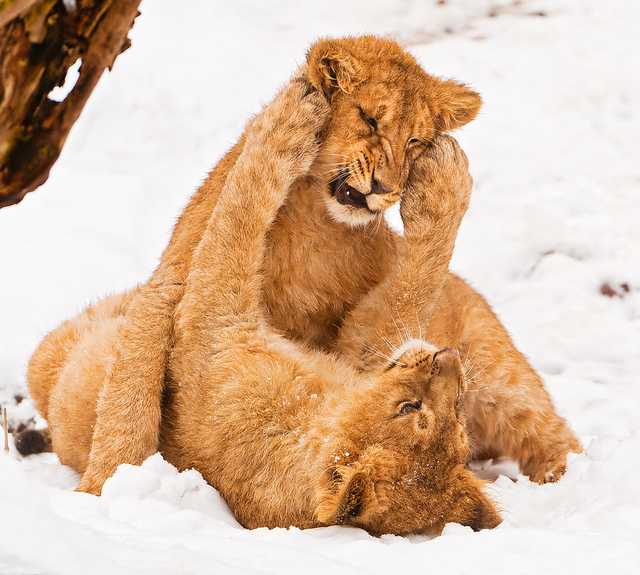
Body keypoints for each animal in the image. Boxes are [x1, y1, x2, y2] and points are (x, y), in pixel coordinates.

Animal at [26, 36, 580, 495]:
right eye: (371, 120)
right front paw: (107, 484)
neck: (315, 215)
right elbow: (130, 392)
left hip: (497, 371)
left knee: (553, 432)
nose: (385, 187)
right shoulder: (171, 285)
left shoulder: (358, 348)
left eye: (415, 141)